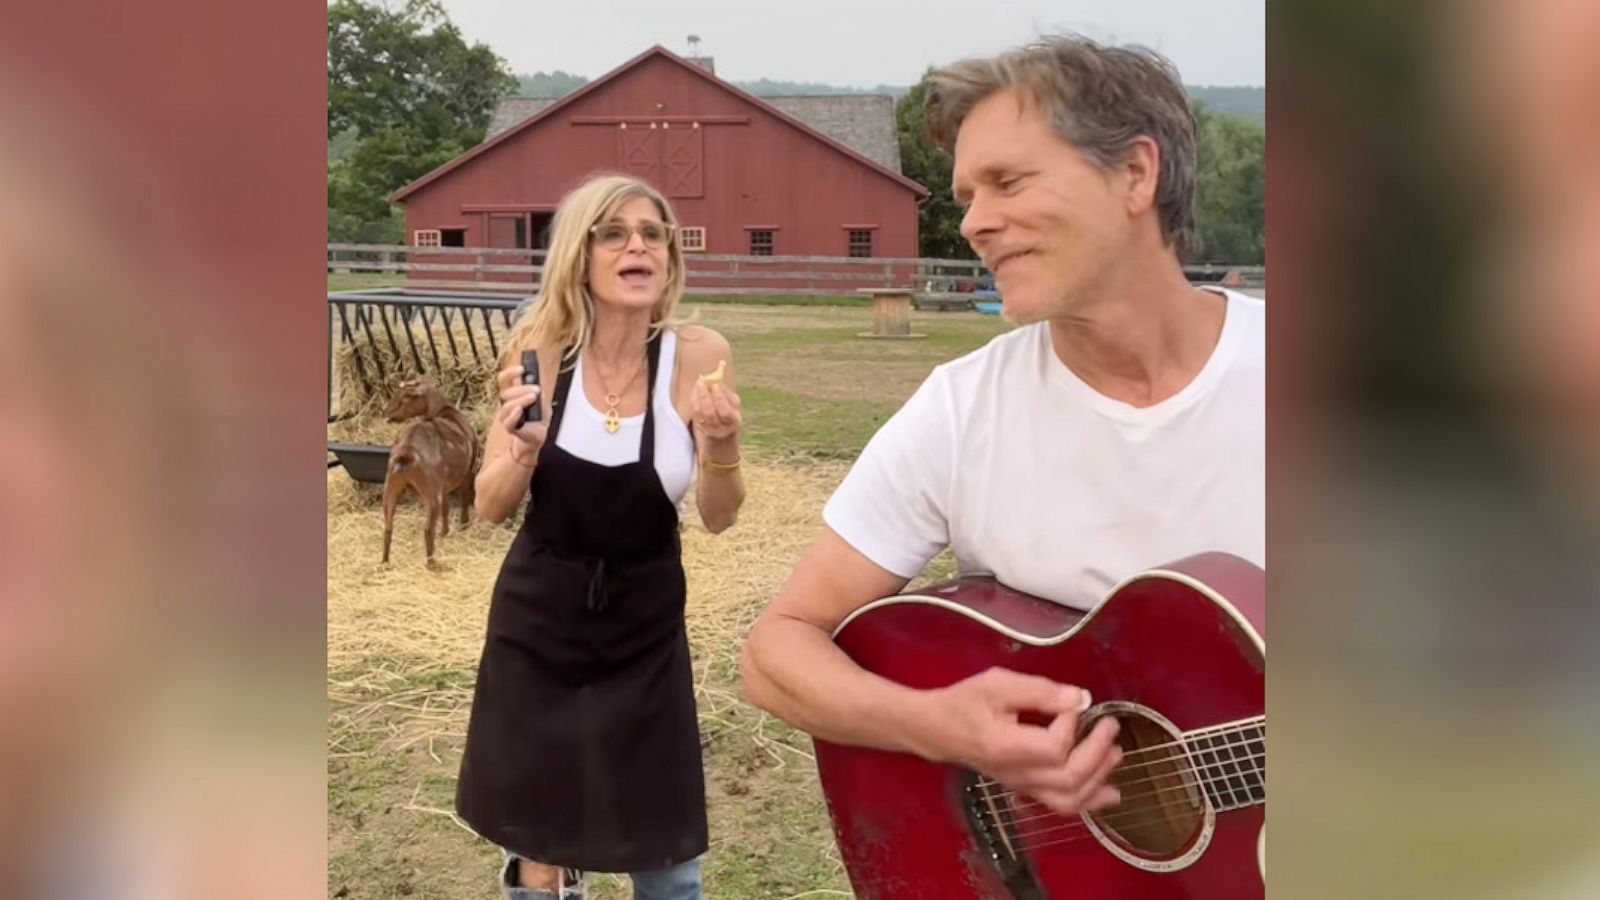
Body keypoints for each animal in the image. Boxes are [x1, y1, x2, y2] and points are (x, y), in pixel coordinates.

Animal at [382, 377, 476, 560]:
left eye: (405, 397)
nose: (385, 412)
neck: (445, 412)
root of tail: (406, 453)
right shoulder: (467, 472)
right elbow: (464, 499)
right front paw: (463, 525)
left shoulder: (444, 485)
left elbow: (446, 508)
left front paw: (445, 531)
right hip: (430, 493)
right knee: (427, 530)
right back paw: (432, 562)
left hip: (391, 487)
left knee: (388, 527)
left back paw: (384, 562)